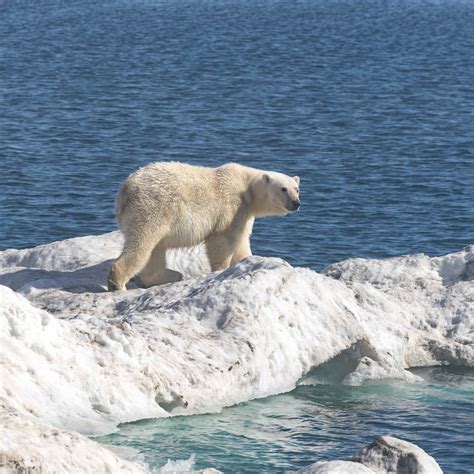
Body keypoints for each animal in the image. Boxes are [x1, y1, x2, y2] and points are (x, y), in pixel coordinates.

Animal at [107, 161, 300, 290]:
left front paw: (248, 260)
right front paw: (221, 269)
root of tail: (126, 189)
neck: (247, 186)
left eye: (297, 189)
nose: (296, 203)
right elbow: (222, 240)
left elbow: (242, 243)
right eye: (283, 189)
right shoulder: (232, 207)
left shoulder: (245, 214)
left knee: (155, 250)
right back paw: (118, 283)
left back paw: (171, 275)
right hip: (153, 208)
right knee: (143, 242)